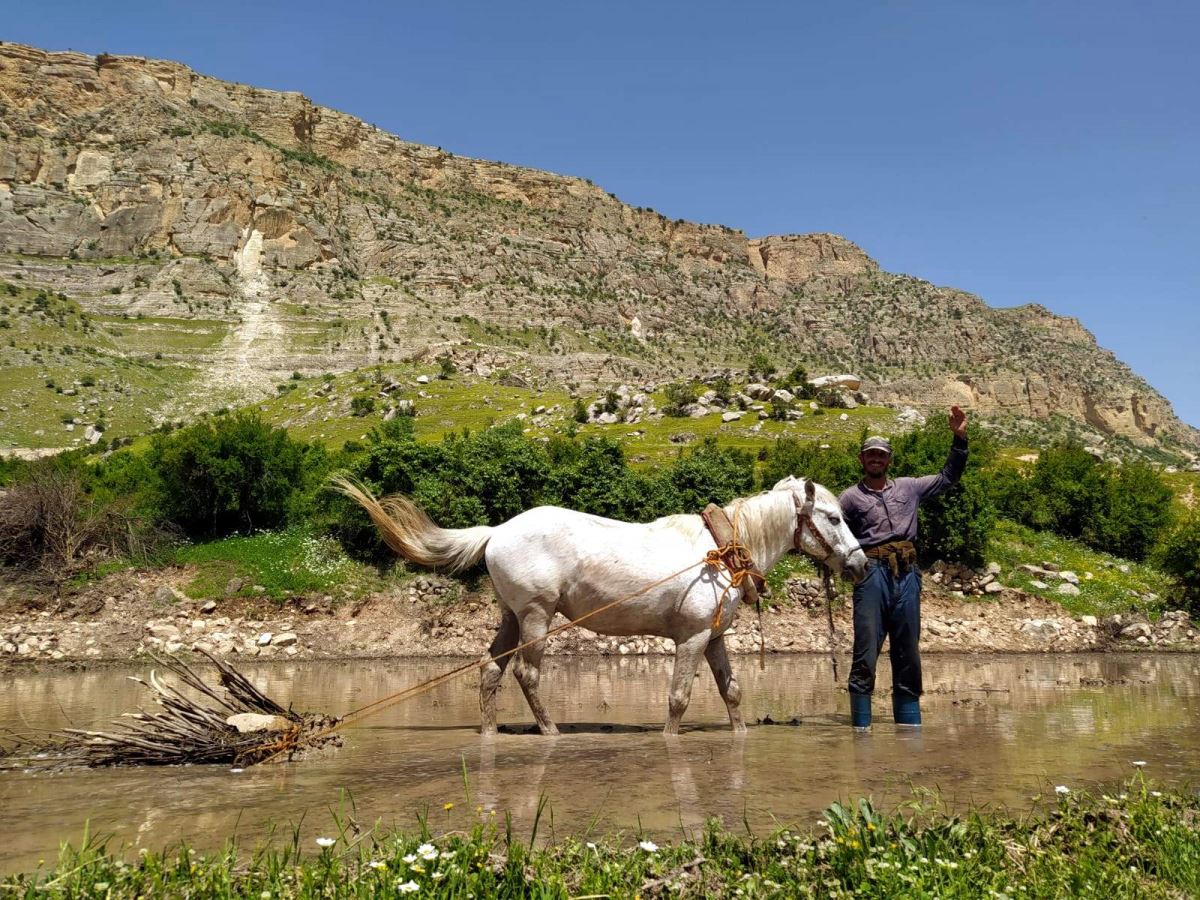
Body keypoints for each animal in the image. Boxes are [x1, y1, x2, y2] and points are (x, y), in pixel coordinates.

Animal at [333, 475, 868, 734]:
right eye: (834, 517)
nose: (861, 565)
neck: (719, 553)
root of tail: (497, 531)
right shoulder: (692, 638)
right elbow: (678, 699)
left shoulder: (713, 637)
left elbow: (732, 694)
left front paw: (739, 737)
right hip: (536, 616)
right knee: (526, 674)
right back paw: (550, 731)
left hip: (511, 617)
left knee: (491, 670)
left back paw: (488, 732)